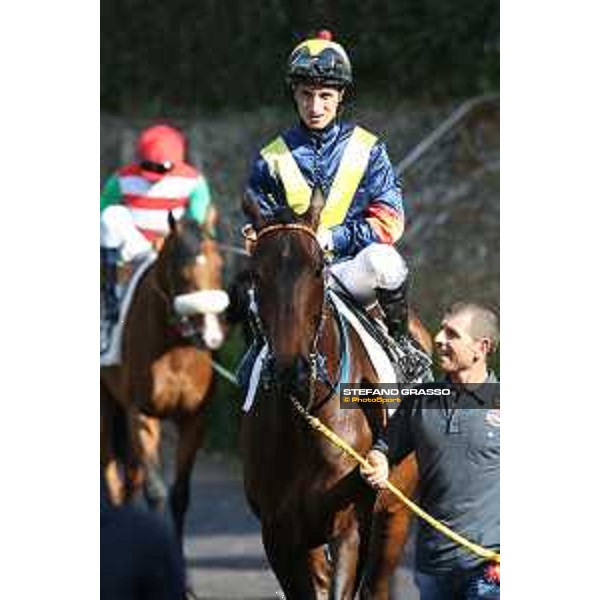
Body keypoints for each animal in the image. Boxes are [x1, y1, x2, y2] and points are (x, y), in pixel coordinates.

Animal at [99, 213, 229, 540]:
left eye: (219, 265)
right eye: (181, 271)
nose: (211, 336)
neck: (176, 352)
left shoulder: (195, 418)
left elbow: (180, 494)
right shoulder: (141, 415)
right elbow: (155, 492)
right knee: (111, 476)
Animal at [241, 189, 434, 600]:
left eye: (317, 268)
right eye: (255, 273)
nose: (292, 370)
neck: (306, 416)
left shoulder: (352, 526)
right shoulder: (279, 533)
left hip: (394, 515)